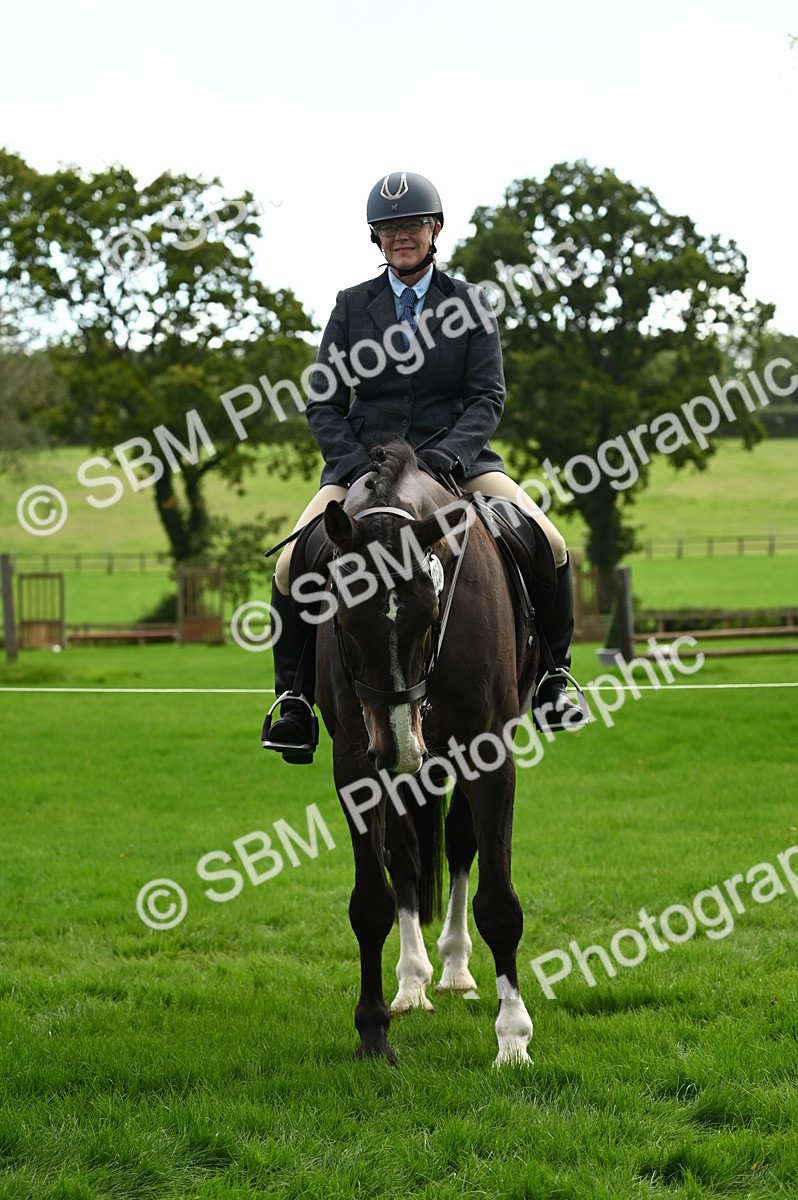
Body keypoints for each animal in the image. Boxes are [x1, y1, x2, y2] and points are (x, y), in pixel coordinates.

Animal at [312, 439, 541, 1066]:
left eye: (430, 615)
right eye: (344, 621)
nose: (398, 745)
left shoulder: (490, 754)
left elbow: (498, 903)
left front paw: (512, 1040)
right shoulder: (355, 765)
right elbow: (372, 900)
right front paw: (373, 1033)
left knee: (459, 845)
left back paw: (456, 970)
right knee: (409, 857)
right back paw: (412, 983)